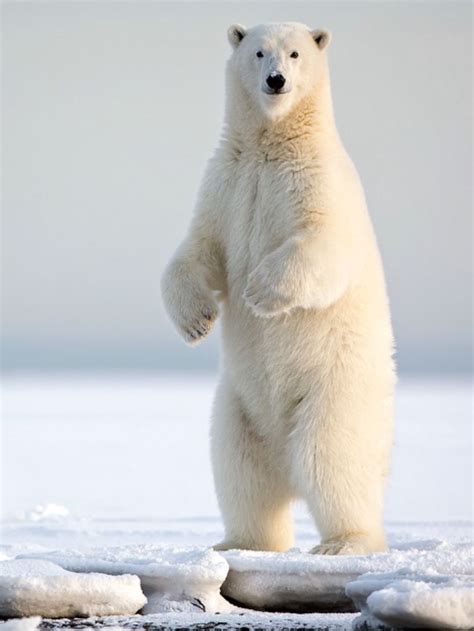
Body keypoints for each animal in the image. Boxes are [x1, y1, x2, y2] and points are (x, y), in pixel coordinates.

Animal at [161, 22, 394, 556]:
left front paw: (259, 292)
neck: (271, 146)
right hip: (238, 408)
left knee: (330, 458)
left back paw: (344, 542)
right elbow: (198, 250)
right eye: (258, 52)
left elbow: (323, 245)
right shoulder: (227, 183)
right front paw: (197, 320)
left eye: (295, 53)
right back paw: (237, 543)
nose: (275, 81)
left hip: (335, 390)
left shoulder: (315, 181)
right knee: (240, 471)